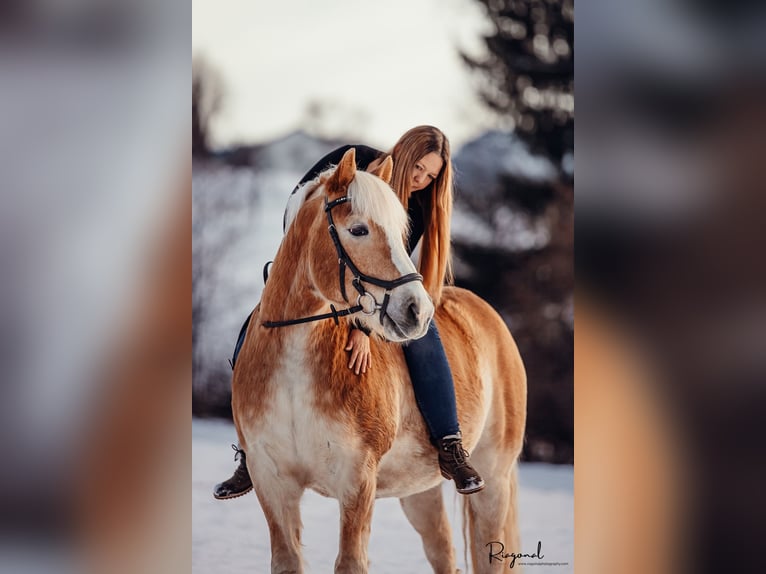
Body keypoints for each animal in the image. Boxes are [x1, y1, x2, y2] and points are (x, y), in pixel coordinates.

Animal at [231, 150, 528, 574]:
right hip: (420, 490)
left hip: (493, 482)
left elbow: (350, 562)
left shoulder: (357, 480)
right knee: (444, 553)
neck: (294, 373)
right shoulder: (271, 481)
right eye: (358, 230)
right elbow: (287, 560)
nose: (417, 310)